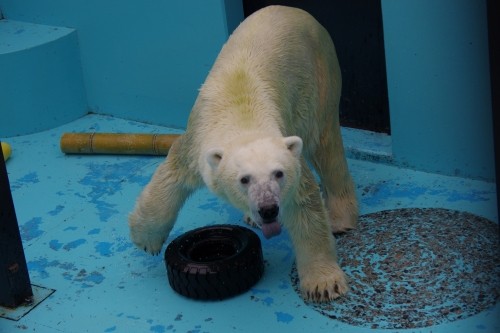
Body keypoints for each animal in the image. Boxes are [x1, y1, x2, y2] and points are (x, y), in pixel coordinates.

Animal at [127, 5, 358, 300]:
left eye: (278, 174)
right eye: (244, 179)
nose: (268, 209)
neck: (240, 110)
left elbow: (305, 206)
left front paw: (324, 283)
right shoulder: (196, 140)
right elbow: (170, 177)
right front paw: (146, 239)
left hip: (321, 73)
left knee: (326, 145)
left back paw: (340, 218)